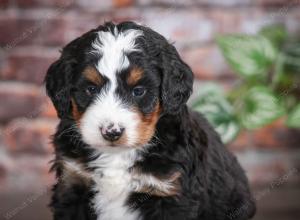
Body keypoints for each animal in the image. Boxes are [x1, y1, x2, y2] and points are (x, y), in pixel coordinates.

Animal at [44, 21, 255, 220]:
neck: (117, 156)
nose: (112, 132)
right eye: (91, 89)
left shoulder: (170, 192)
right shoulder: (72, 183)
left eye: (139, 91)